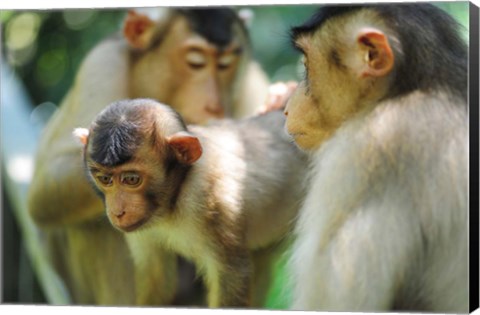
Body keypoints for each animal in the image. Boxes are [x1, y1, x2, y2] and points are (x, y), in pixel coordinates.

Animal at [27, 7, 270, 306]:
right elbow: (45, 192)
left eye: (226, 65)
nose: (214, 106)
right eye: (196, 62)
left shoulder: (250, 81)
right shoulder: (102, 64)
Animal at [74, 98, 308, 308]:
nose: (117, 211)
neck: (173, 196)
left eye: (131, 179)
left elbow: (231, 274)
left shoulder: (210, 199)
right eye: (105, 179)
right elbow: (156, 277)